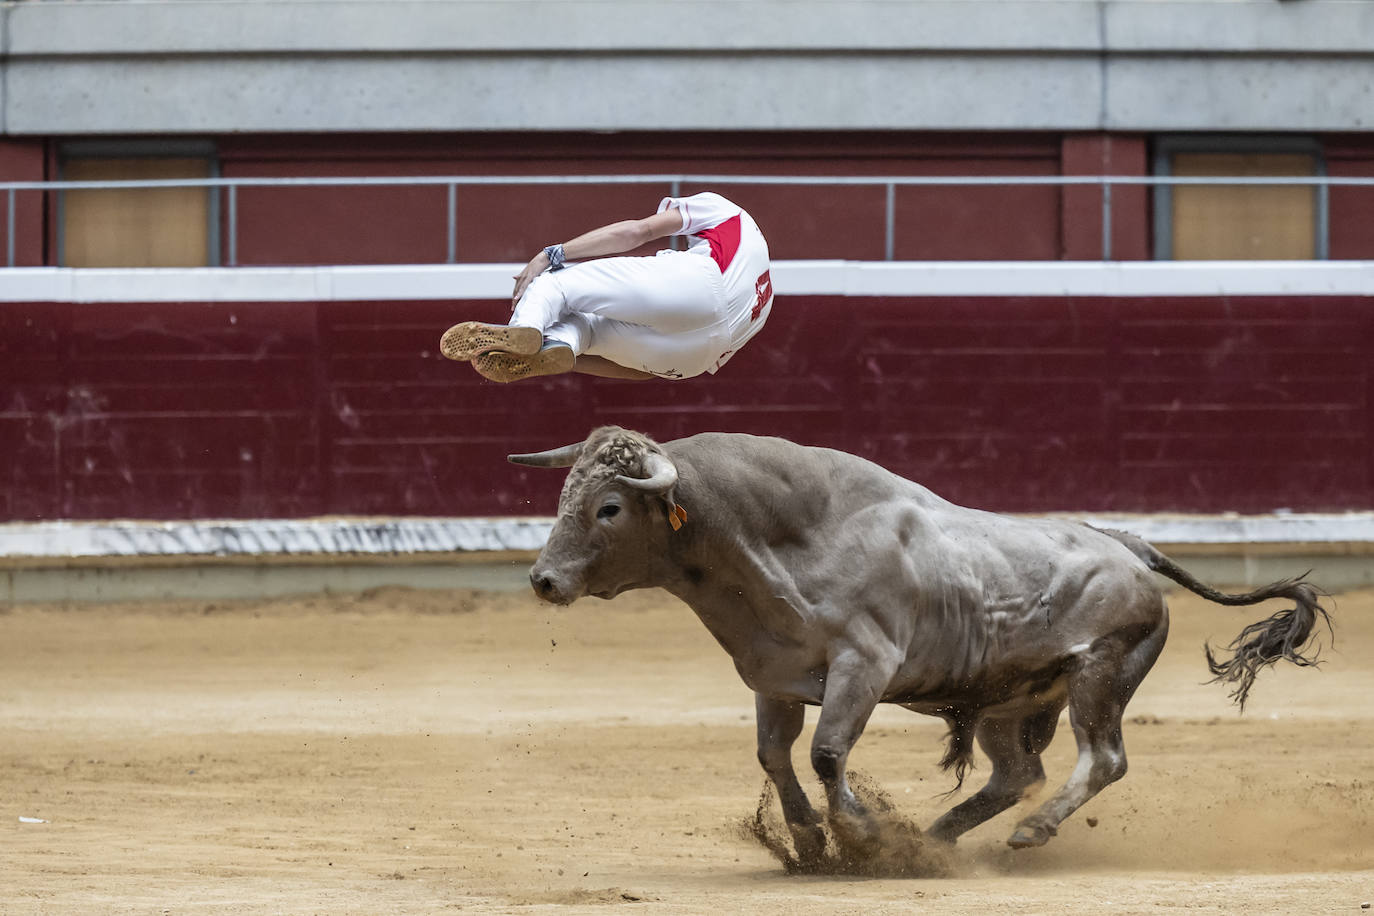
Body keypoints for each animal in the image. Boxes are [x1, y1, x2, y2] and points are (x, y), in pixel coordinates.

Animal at [508, 425, 1330, 862]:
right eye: (564, 497)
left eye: (609, 508)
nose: (544, 580)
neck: (789, 537)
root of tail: (1128, 546)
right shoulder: (774, 676)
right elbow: (775, 755)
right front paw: (811, 841)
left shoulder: (863, 667)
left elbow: (827, 752)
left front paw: (860, 834)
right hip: (1009, 702)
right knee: (1017, 772)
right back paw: (935, 840)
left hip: (1101, 675)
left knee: (1101, 759)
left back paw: (1026, 834)